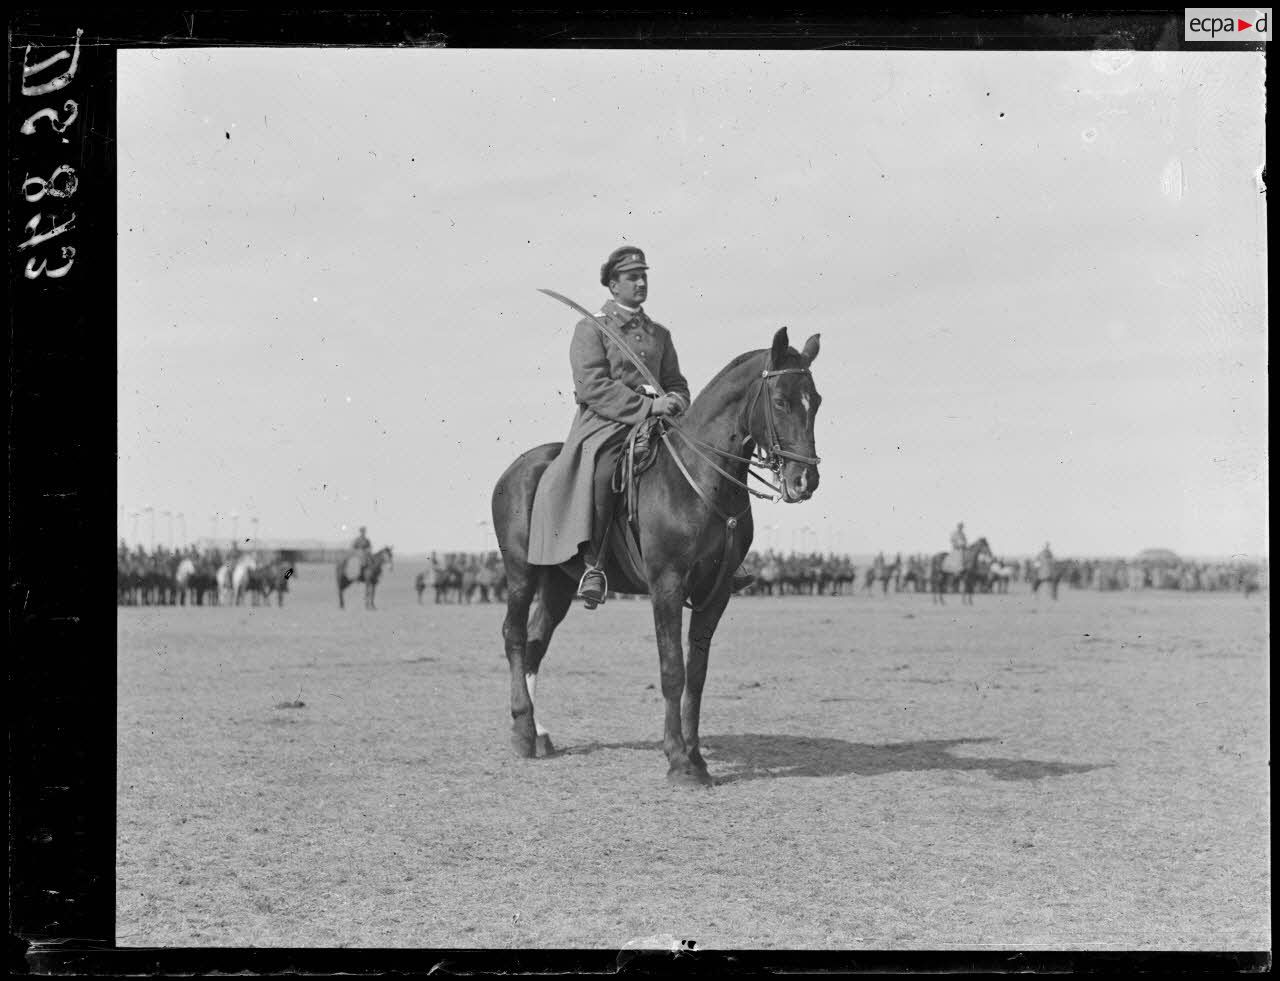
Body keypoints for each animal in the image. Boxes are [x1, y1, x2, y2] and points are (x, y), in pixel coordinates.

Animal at [488, 326, 819, 788]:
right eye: (781, 401)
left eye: (816, 401)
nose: (805, 479)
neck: (700, 476)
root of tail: (518, 468)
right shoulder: (667, 585)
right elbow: (672, 670)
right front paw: (678, 759)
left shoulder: (716, 592)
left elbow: (697, 675)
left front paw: (697, 757)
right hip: (521, 571)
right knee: (515, 636)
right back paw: (521, 730)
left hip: (558, 583)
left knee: (536, 642)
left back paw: (538, 732)